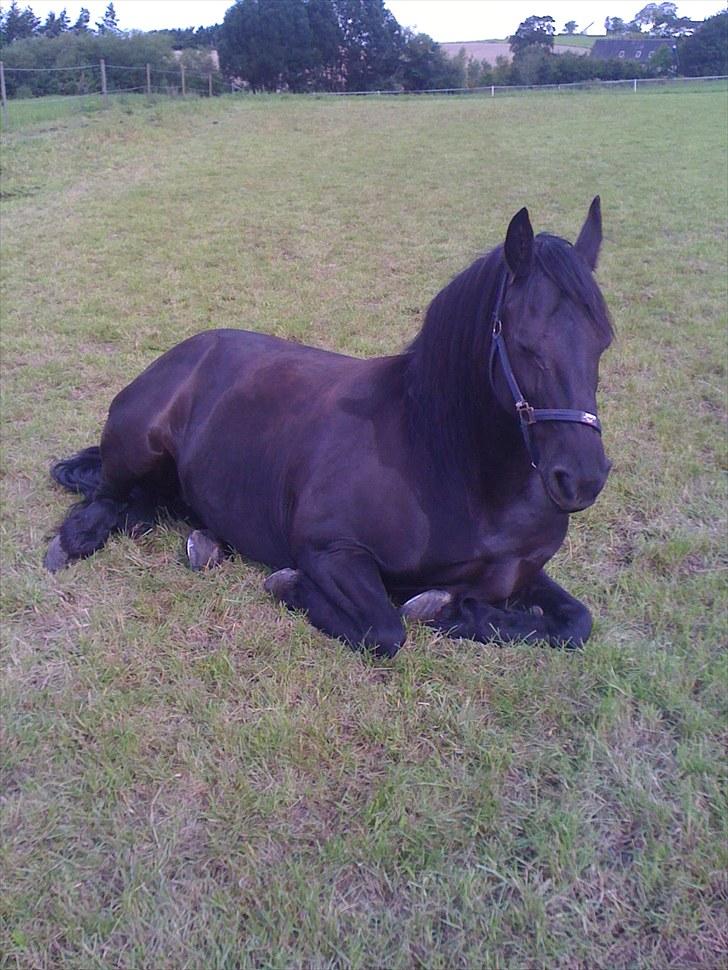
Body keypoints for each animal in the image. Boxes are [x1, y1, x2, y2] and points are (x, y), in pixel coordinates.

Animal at [44, 201, 616, 660]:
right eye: (523, 343)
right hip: (139, 446)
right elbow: (385, 629)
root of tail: (186, 350)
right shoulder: (331, 550)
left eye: (603, 341)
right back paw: (76, 539)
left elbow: (576, 623)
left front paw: (458, 611)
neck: (447, 467)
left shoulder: (522, 573)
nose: (582, 479)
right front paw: (291, 585)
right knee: (104, 495)